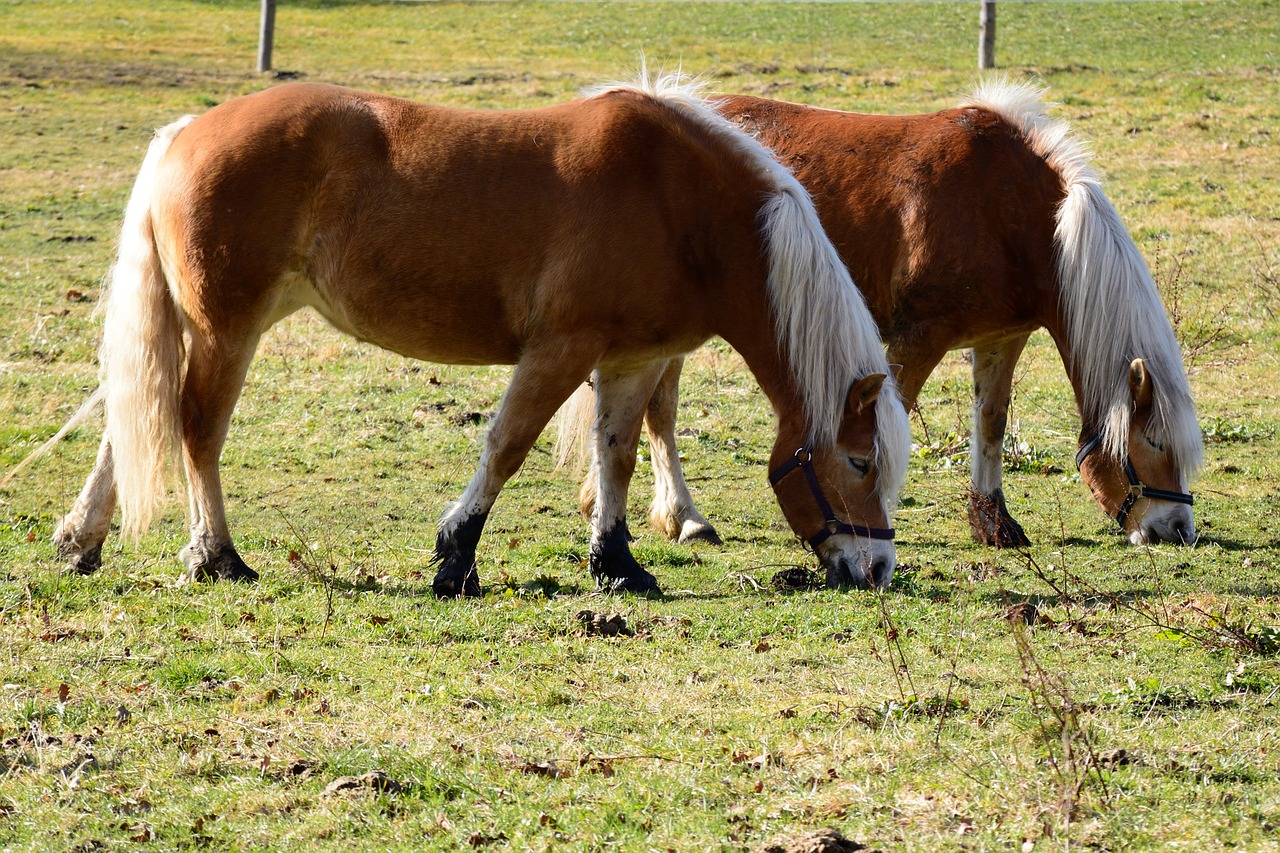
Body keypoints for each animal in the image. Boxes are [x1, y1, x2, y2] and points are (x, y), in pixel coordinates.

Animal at [42, 76, 911, 594]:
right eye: (860, 460)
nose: (876, 567)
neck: (680, 202)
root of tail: (185, 132)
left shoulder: (632, 360)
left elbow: (618, 456)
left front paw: (619, 564)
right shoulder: (559, 348)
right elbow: (507, 446)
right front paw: (455, 555)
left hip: (205, 327)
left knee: (135, 416)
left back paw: (83, 539)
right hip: (228, 329)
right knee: (195, 429)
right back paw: (215, 555)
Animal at [570, 78, 1198, 545]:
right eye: (1155, 442)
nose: (1177, 530)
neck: (1012, 214)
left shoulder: (1001, 336)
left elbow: (991, 422)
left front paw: (994, 523)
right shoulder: (918, 339)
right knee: (659, 411)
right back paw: (683, 516)